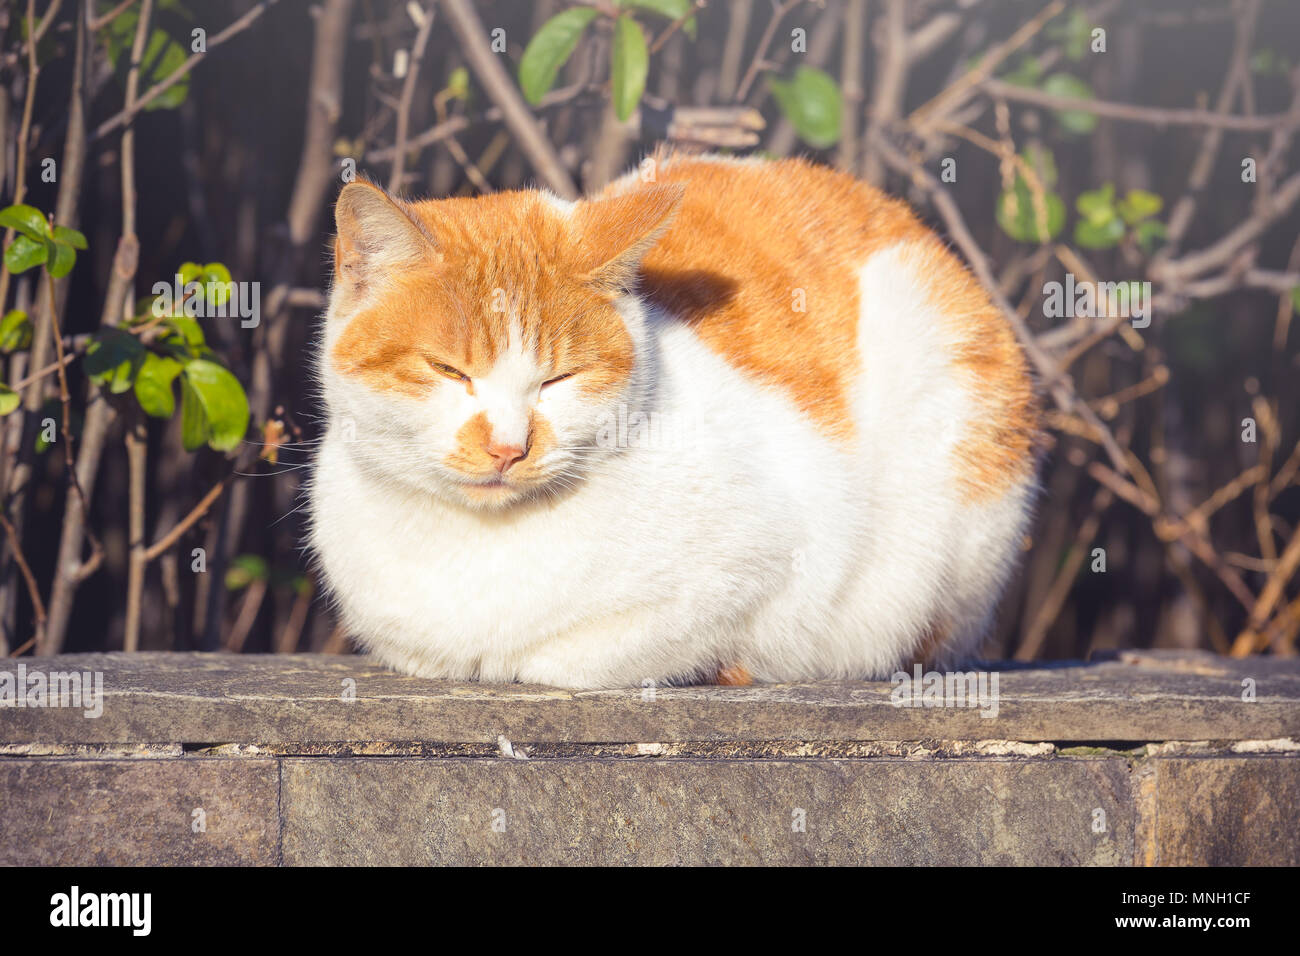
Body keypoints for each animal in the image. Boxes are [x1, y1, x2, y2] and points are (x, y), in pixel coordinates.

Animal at [304, 158, 1034, 697]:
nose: (508, 447)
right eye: (450, 371)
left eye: (557, 380)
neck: (474, 543)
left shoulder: (778, 555)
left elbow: (572, 657)